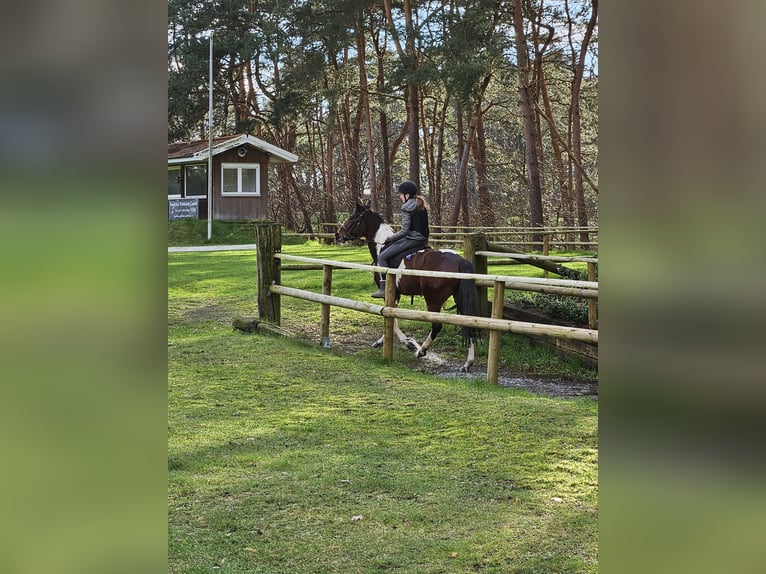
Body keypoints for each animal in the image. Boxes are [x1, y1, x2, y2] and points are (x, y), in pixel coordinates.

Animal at [336, 201, 480, 374]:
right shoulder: (396, 294)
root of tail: (459, 260)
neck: (382, 246)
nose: (338, 234)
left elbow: (391, 318)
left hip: (433, 299)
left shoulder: (390, 293)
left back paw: (421, 351)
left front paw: (409, 343)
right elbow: (391, 317)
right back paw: (468, 363)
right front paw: (382, 340)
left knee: (436, 326)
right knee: (469, 324)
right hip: (458, 297)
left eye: (352, 218)